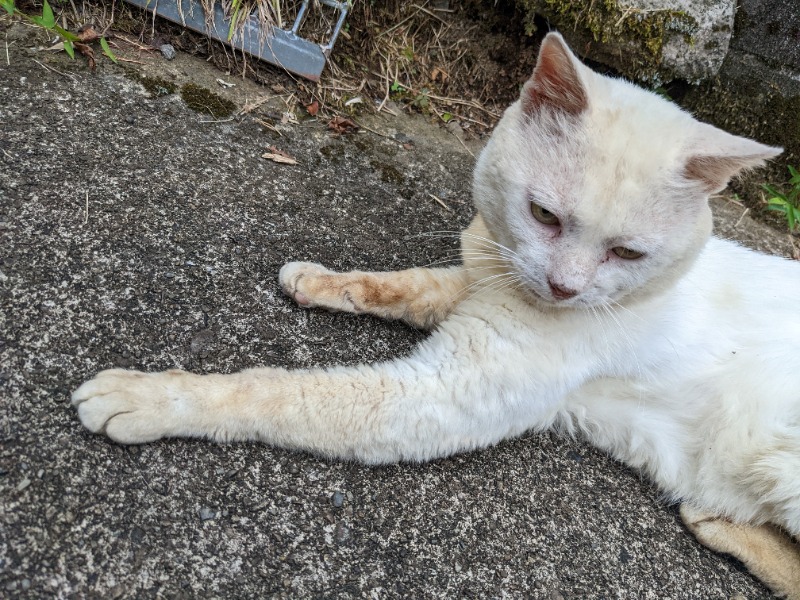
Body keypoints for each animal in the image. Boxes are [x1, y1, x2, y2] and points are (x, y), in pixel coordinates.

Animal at [72, 34, 796, 600]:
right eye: (544, 215)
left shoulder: (447, 393)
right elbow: (405, 287)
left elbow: (278, 393)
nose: (564, 288)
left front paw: (155, 397)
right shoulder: (478, 279)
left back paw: (722, 525)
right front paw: (322, 280)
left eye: (626, 254)